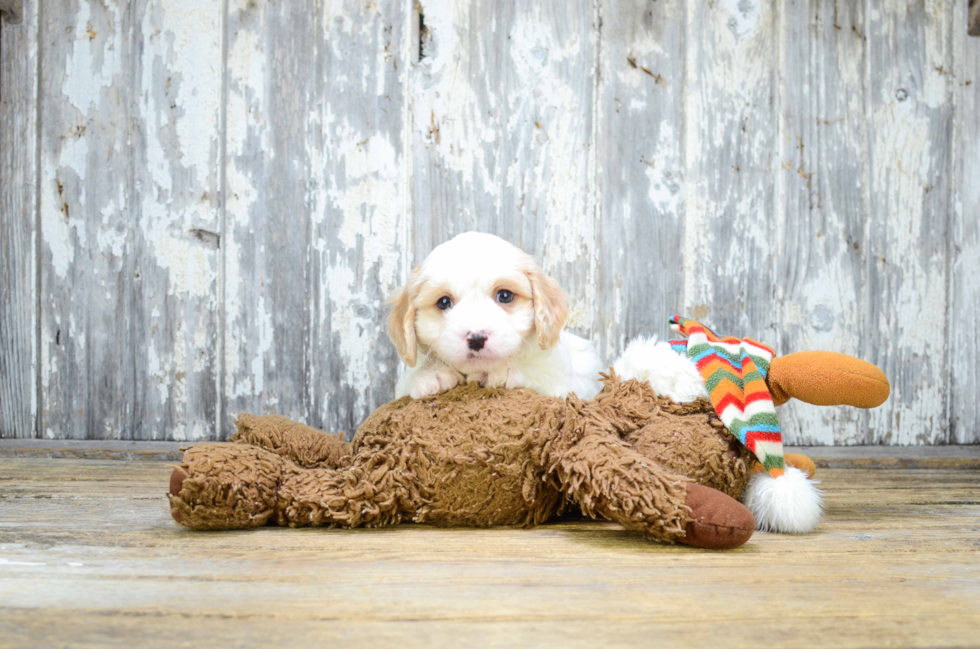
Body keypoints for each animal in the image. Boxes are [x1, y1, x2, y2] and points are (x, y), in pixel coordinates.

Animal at [386, 229, 600, 400]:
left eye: (504, 295)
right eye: (444, 302)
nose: (476, 339)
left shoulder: (565, 384)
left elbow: (540, 374)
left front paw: (503, 371)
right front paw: (430, 374)